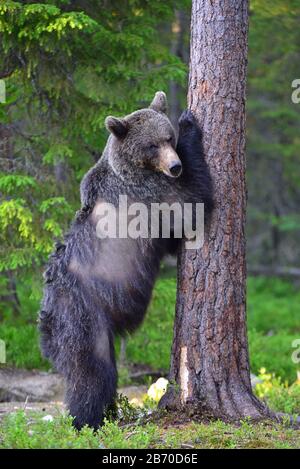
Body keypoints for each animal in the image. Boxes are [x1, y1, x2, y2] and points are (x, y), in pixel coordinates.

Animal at [39, 90, 213, 428]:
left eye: (167, 138)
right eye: (152, 145)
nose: (175, 166)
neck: (136, 168)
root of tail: (47, 319)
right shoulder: (147, 195)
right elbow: (191, 204)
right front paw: (189, 124)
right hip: (82, 317)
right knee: (92, 372)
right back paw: (88, 421)